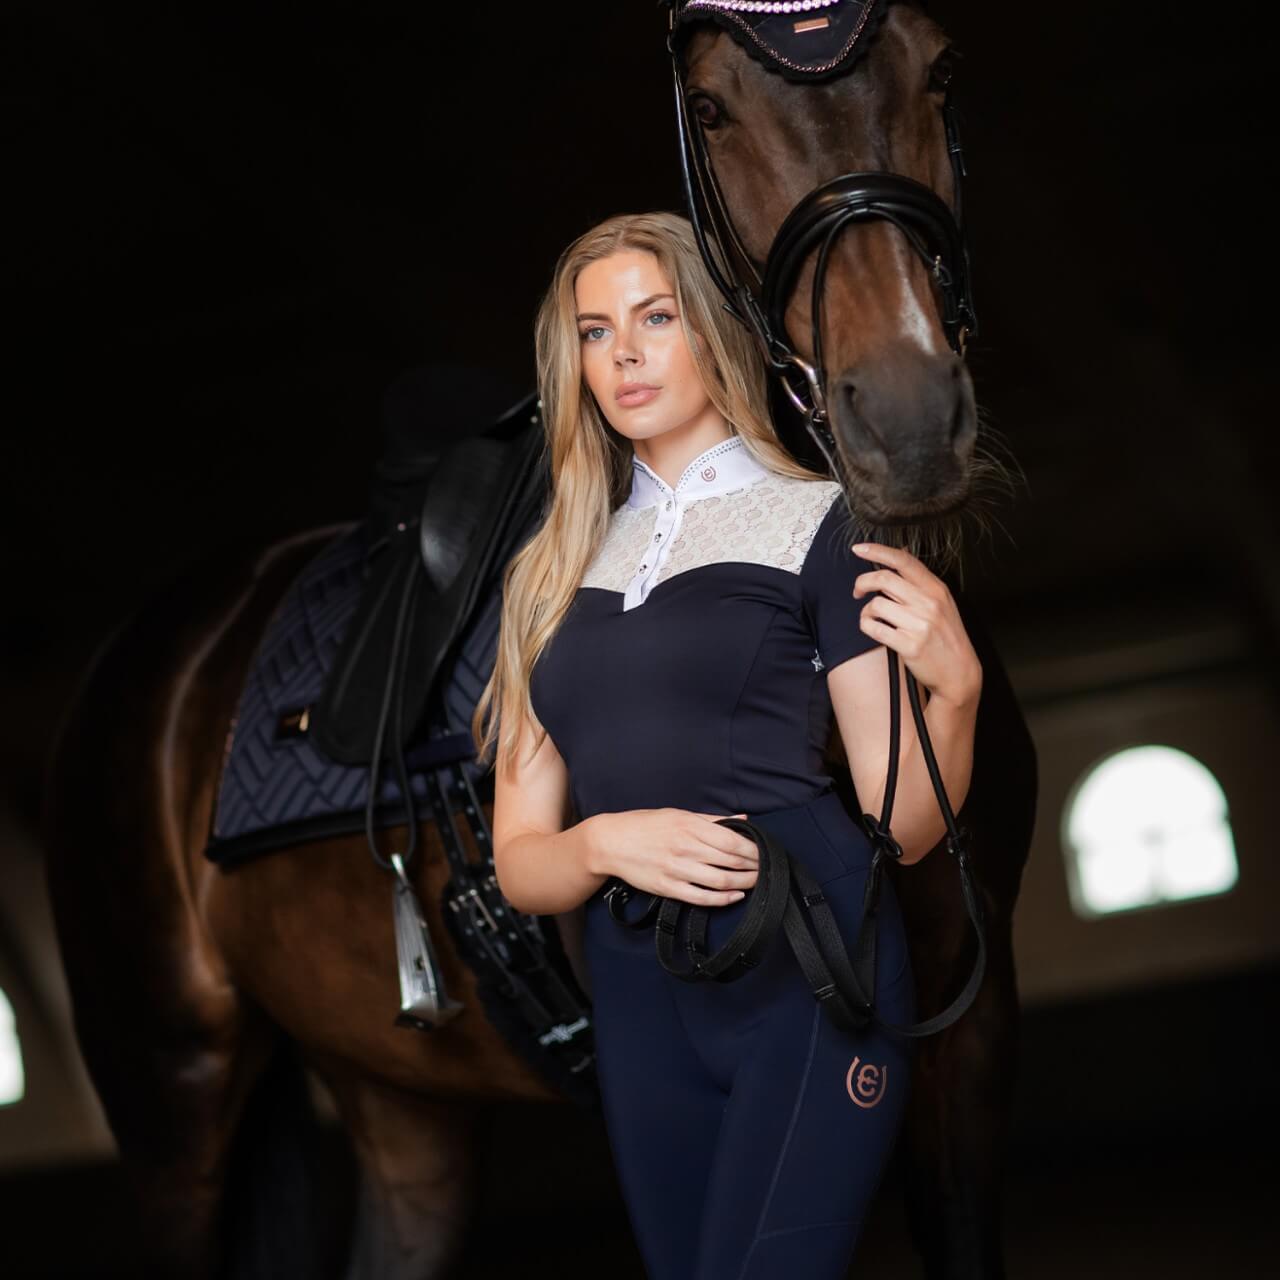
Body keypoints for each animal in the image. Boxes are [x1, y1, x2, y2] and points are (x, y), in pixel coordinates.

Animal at [42, 4, 1035, 1278]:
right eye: (710, 108)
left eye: (939, 68)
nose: (907, 423)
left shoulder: (965, 1030)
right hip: (173, 1098)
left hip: (404, 1107)